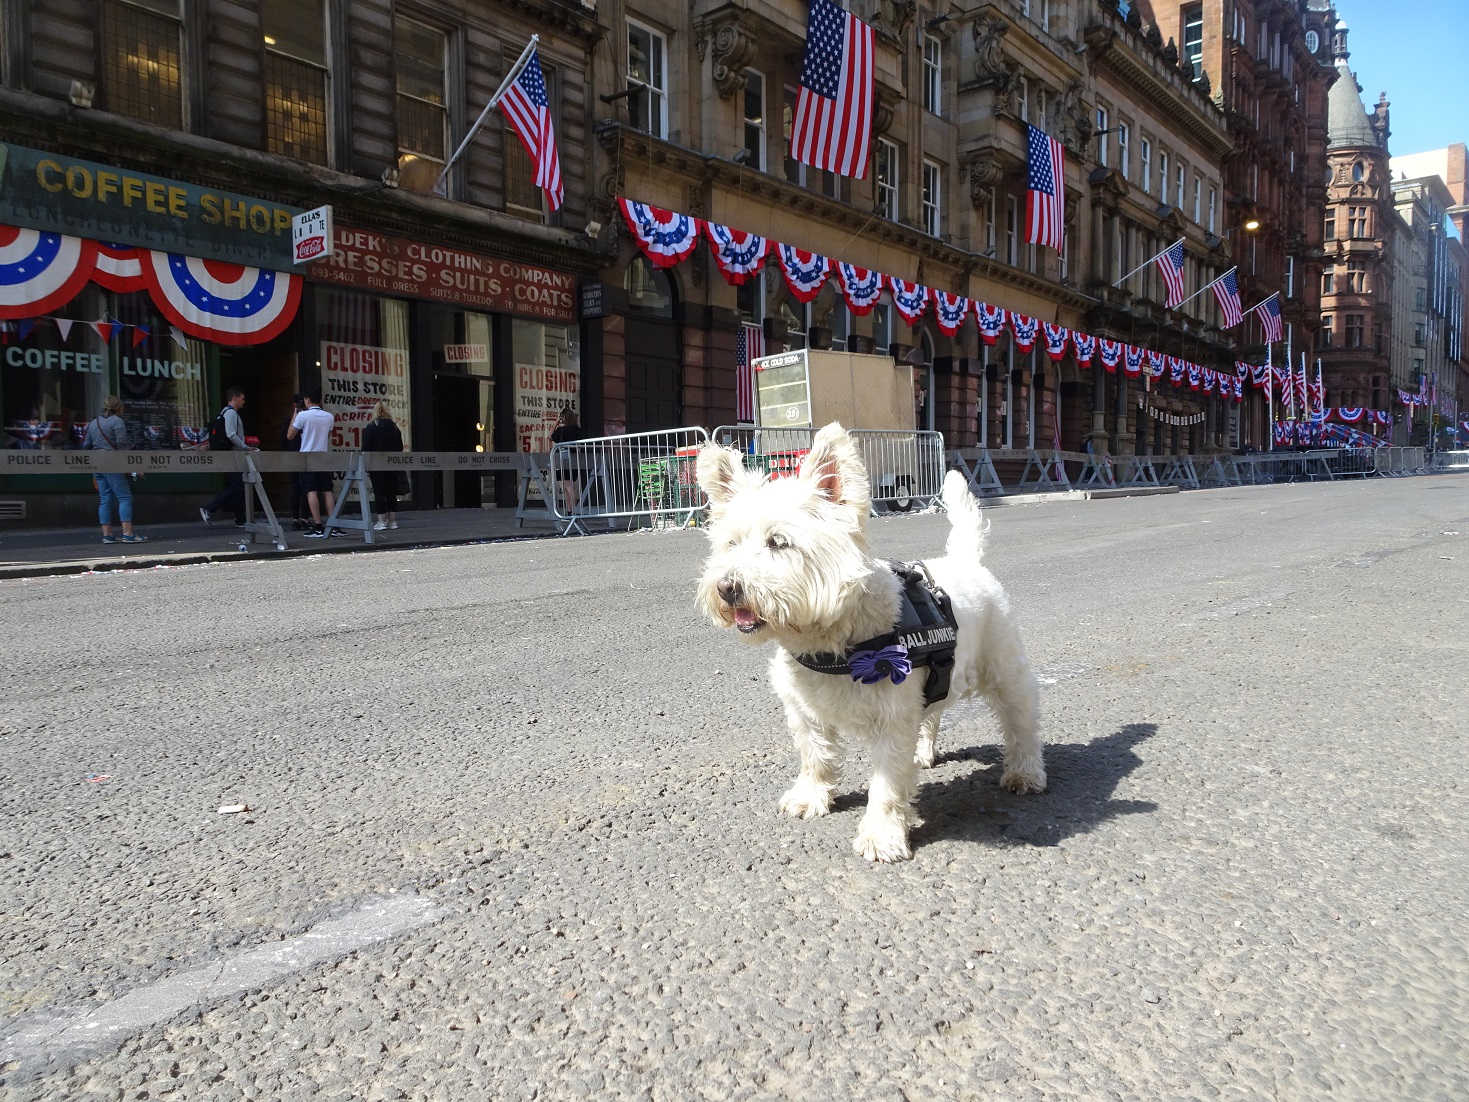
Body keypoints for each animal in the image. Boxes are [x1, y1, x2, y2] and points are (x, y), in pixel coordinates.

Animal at [690, 423, 1045, 863]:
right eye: (731, 544)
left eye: (778, 542)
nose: (726, 588)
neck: (831, 640)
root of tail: (966, 561)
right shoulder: (806, 711)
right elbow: (815, 757)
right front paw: (810, 798)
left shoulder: (892, 718)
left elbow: (888, 785)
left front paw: (881, 836)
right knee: (933, 711)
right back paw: (924, 751)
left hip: (1003, 667)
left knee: (1021, 719)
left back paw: (1025, 773)